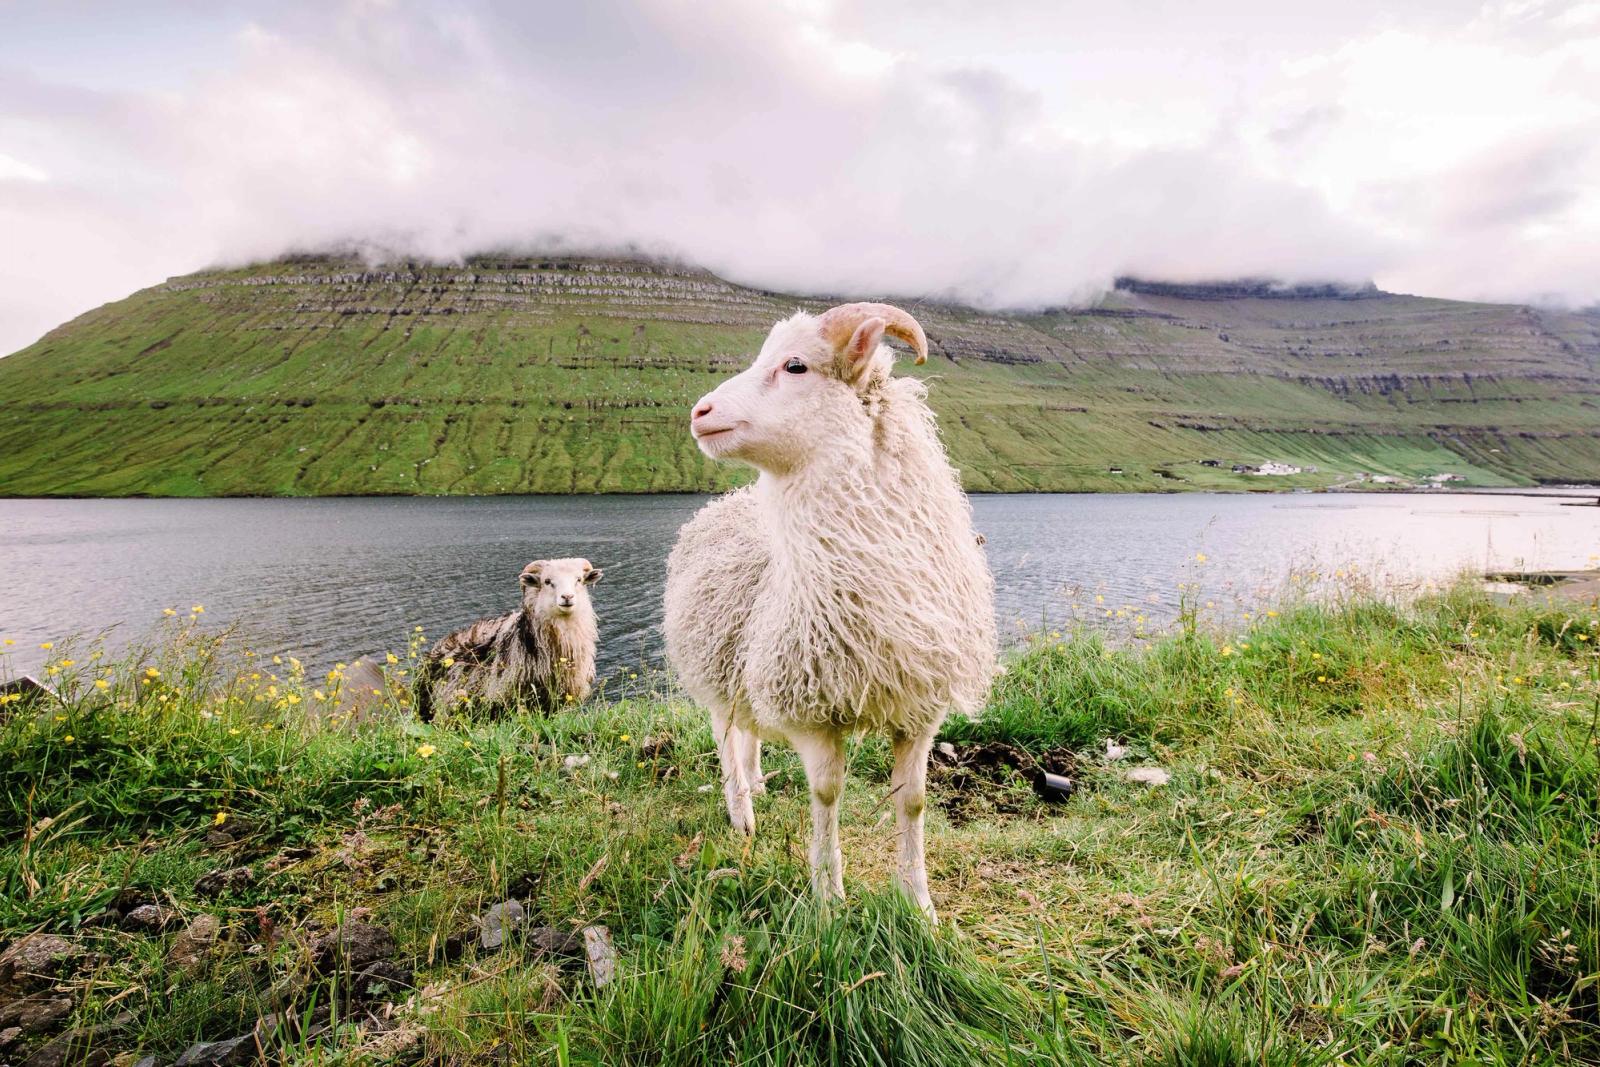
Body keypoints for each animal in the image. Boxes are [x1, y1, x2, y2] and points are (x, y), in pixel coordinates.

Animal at [663, 302, 997, 919]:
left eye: (795, 365)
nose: (700, 412)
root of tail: (724, 503)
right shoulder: (811, 710)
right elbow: (827, 795)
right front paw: (827, 900)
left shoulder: (920, 708)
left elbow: (913, 802)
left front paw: (920, 906)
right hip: (717, 672)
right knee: (725, 741)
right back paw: (742, 813)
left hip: (747, 665)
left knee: (747, 735)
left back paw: (757, 785)